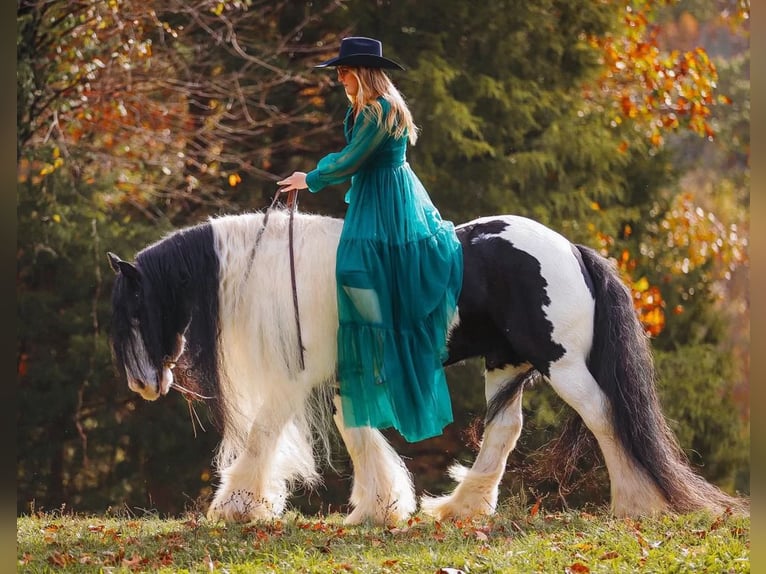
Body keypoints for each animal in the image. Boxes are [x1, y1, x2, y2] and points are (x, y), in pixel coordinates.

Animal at [108, 212, 744, 528]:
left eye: (134, 309)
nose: (143, 385)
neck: (281, 270)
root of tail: (570, 249)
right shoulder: (342, 378)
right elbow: (357, 435)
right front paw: (380, 508)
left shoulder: (296, 378)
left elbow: (264, 436)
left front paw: (236, 506)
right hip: (506, 364)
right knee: (504, 432)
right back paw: (460, 508)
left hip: (561, 365)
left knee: (606, 418)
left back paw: (634, 505)